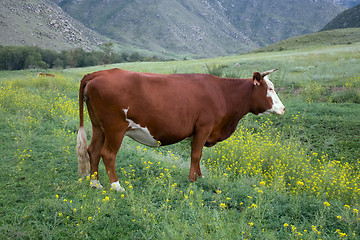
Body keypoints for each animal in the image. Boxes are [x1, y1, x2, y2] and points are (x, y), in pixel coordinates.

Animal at [77, 67, 286, 191]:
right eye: (270, 89)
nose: (283, 108)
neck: (223, 93)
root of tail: (100, 73)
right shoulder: (203, 127)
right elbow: (196, 154)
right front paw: (192, 180)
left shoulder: (201, 132)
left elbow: (198, 155)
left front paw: (200, 177)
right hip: (115, 128)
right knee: (108, 154)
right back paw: (117, 187)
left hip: (99, 127)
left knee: (93, 151)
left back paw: (96, 184)